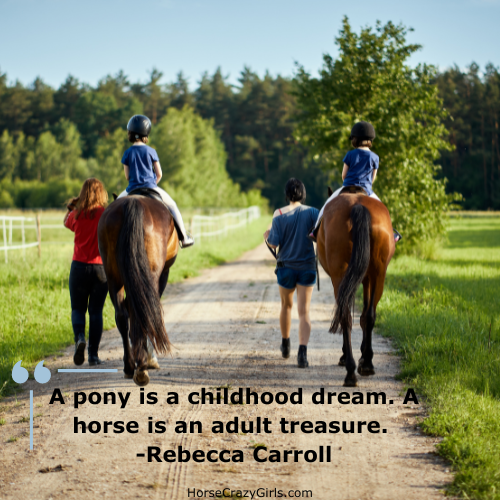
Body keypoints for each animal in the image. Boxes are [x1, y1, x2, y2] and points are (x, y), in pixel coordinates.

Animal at [96, 195, 179, 386]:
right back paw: (141, 366)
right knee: (141, 312)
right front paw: (150, 358)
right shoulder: (162, 275)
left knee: (122, 315)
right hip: (151, 275)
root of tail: (132, 202)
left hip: (114, 277)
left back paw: (129, 366)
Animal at [316, 188, 394, 386]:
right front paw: (364, 357)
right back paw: (365, 364)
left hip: (340, 276)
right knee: (369, 315)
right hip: (378, 274)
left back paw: (350, 369)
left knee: (345, 316)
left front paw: (346, 356)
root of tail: (358, 205)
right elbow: (365, 315)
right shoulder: (367, 278)